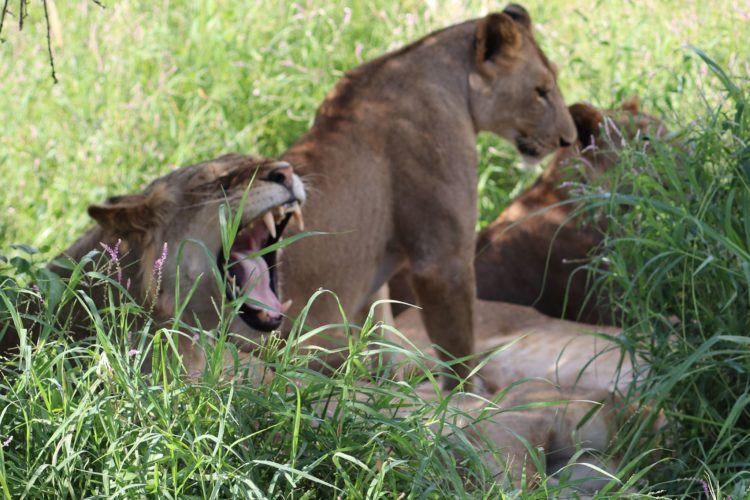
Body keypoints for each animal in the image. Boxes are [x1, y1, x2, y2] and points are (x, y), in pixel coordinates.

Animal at [280, 4, 580, 386]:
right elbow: (458, 348)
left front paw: (386, 386)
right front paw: (466, 392)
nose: (568, 139)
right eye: (541, 91)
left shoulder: (375, 273)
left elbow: (381, 332)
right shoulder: (442, 262)